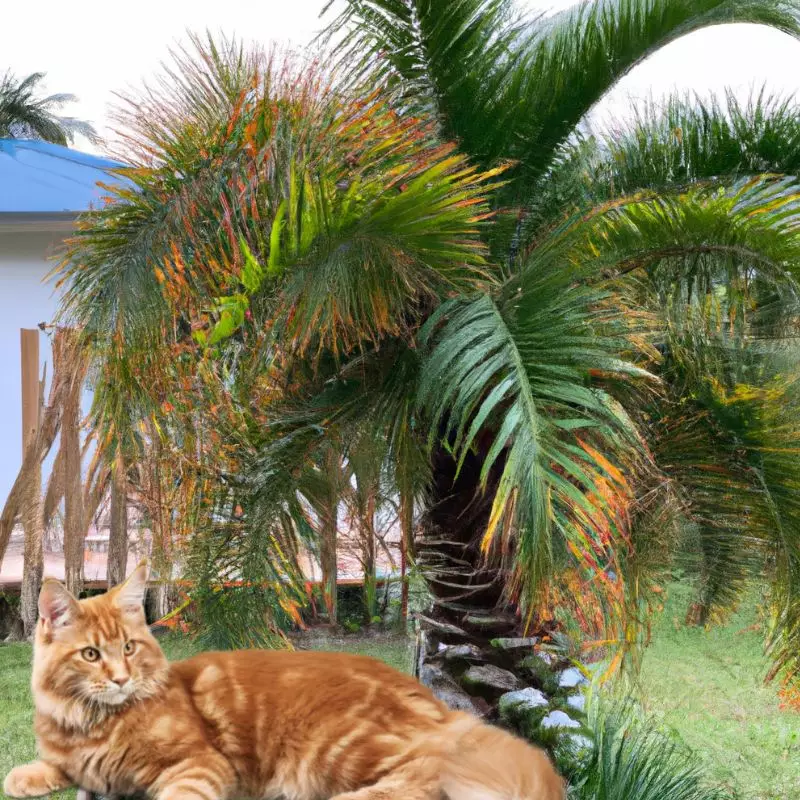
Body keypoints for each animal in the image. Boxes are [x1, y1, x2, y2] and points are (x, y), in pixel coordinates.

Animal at [3, 564, 564, 800]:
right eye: (92, 654)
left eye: (128, 649)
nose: (120, 678)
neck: (91, 724)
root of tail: (437, 703)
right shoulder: (75, 758)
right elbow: (50, 768)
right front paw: (25, 776)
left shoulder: (199, 765)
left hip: (334, 747)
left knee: (424, 779)